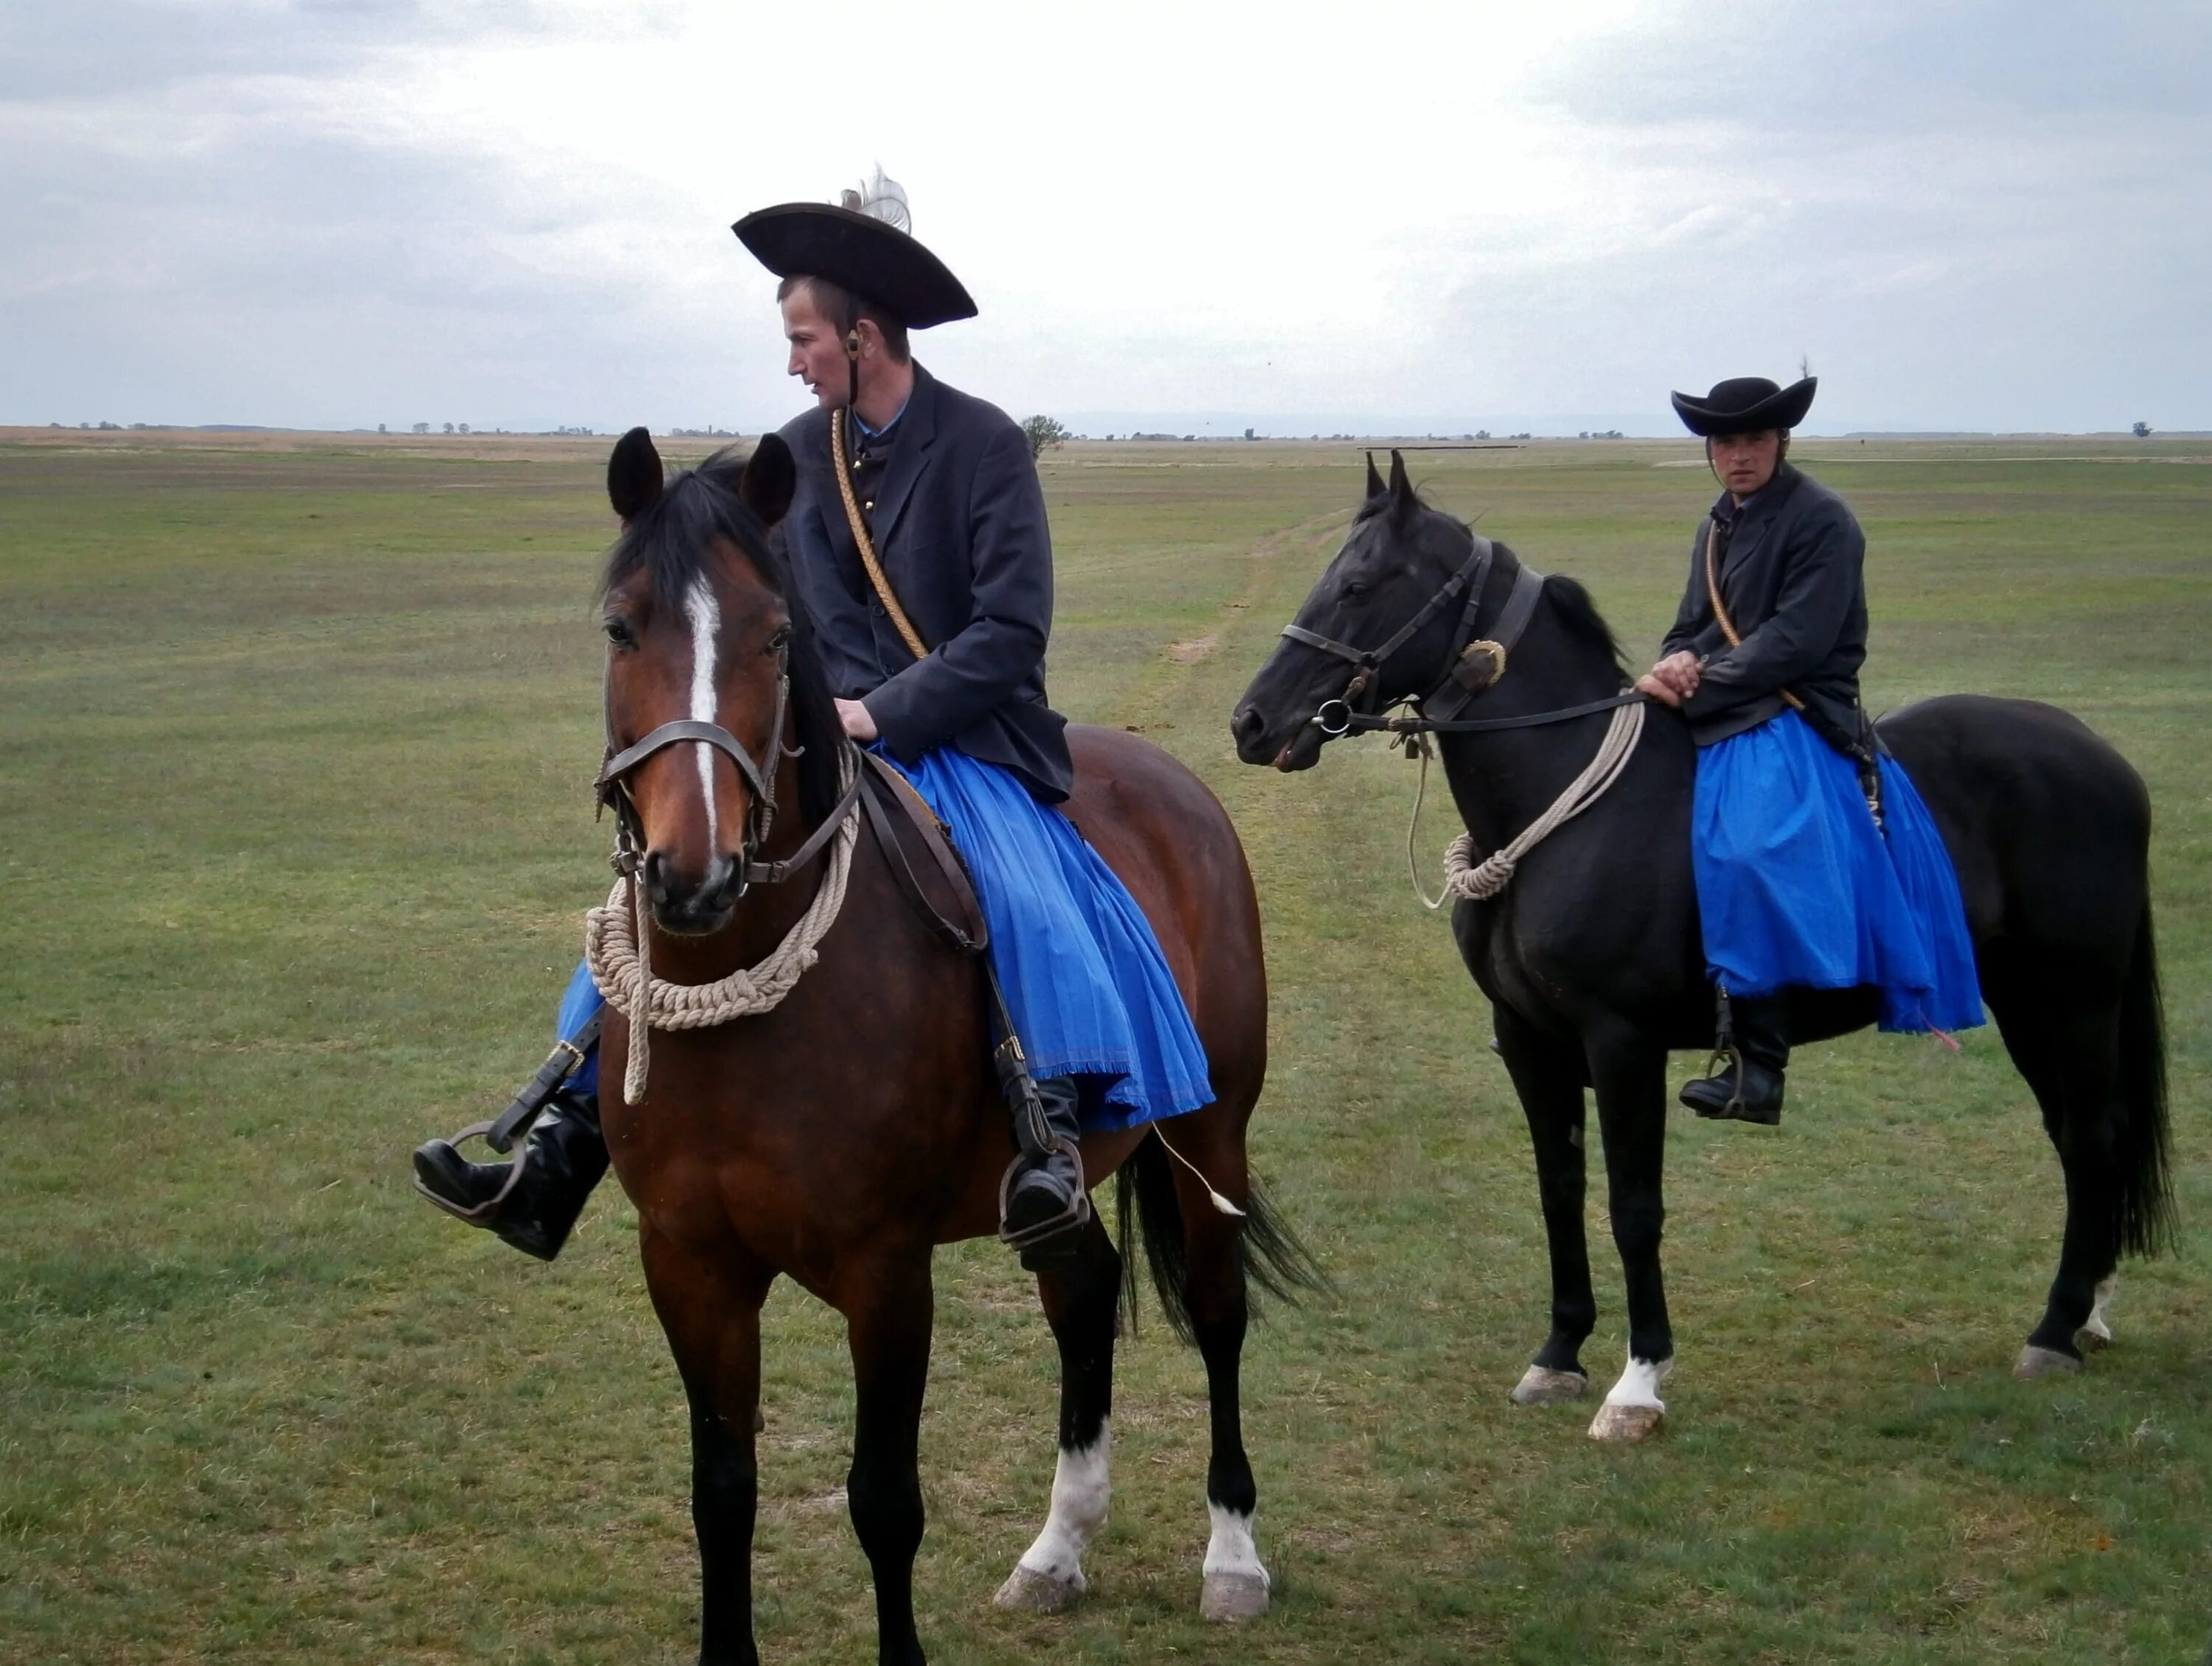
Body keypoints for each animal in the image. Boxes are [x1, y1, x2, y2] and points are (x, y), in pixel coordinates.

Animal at [588, 431, 1310, 1664]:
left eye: (775, 635)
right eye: (623, 627)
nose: (694, 872)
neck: (748, 997)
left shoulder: (886, 1268)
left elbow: (884, 1498)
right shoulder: (688, 1263)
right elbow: (721, 1491)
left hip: (1209, 1130)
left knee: (1217, 1314)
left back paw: (1233, 1556)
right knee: (1085, 1294)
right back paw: (1056, 1547)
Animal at [1230, 456, 2177, 1443]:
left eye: (1360, 585)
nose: (1251, 723)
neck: (1564, 799)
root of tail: (2099, 754)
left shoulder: (1623, 1044)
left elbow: (1633, 1208)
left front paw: (1638, 1382)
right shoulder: (1532, 1044)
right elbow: (1559, 1191)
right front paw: (1559, 1352)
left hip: (2076, 996)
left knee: (2094, 1133)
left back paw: (2057, 1327)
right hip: (2026, 997)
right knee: (2078, 1136)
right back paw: (2087, 1311)